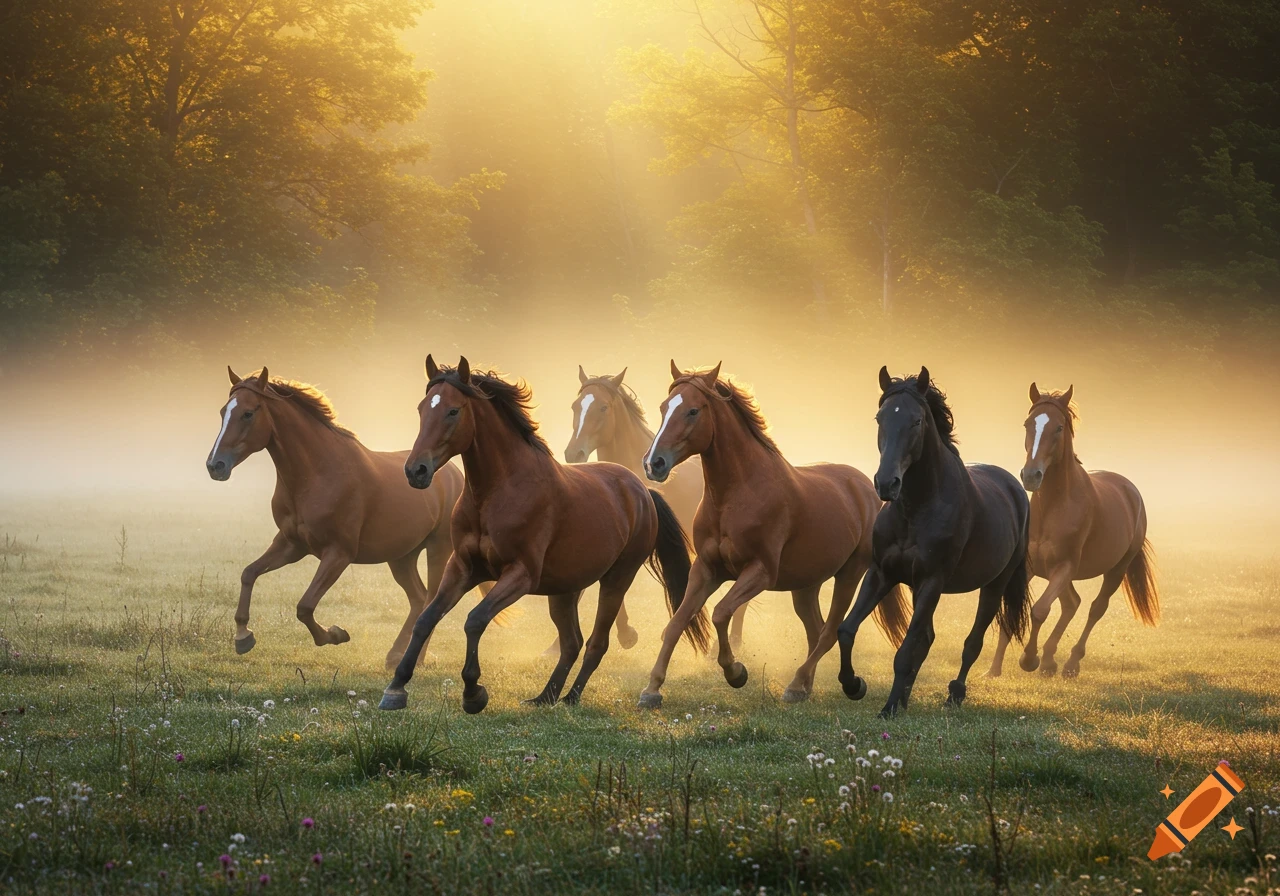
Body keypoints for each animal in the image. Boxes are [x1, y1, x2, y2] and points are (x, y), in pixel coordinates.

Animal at [206, 367, 488, 668]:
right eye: (223, 411)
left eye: (248, 413)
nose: (215, 465)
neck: (317, 474)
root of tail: (454, 474)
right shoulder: (291, 545)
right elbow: (249, 573)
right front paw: (243, 636)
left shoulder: (338, 554)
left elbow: (304, 606)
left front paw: (335, 634)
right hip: (401, 557)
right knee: (418, 598)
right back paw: (395, 655)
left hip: (438, 550)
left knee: (432, 602)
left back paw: (413, 658)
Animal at [379, 356, 711, 714]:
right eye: (422, 408)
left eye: (453, 411)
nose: (416, 470)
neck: (497, 493)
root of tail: (642, 491)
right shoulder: (463, 568)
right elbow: (426, 618)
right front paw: (395, 688)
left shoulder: (520, 575)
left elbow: (474, 620)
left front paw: (473, 693)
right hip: (565, 589)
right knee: (571, 642)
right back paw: (545, 696)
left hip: (616, 579)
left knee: (596, 643)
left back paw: (570, 697)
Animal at [635, 362, 909, 708]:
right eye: (663, 408)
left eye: (693, 411)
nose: (653, 463)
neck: (737, 495)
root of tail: (866, 489)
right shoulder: (706, 570)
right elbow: (675, 624)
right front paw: (651, 690)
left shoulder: (760, 572)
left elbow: (721, 614)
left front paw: (736, 672)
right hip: (806, 586)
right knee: (816, 630)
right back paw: (804, 686)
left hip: (849, 575)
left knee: (829, 632)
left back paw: (807, 686)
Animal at [836, 366, 1032, 717]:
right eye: (880, 418)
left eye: (916, 421)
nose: (886, 483)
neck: (917, 507)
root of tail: (1014, 488)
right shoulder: (882, 574)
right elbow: (846, 631)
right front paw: (854, 685)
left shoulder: (932, 581)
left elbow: (905, 649)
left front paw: (888, 708)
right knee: (927, 639)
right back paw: (906, 696)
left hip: (995, 584)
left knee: (971, 643)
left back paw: (954, 694)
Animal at [986, 384, 1158, 678]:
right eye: (1027, 424)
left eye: (1058, 428)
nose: (1031, 476)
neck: (1054, 506)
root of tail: (1130, 490)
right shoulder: (1029, 567)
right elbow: (1014, 610)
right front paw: (993, 670)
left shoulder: (1064, 567)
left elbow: (1040, 610)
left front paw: (1028, 659)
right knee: (1072, 603)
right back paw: (1049, 661)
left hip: (1116, 569)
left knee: (1095, 608)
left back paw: (1068, 664)